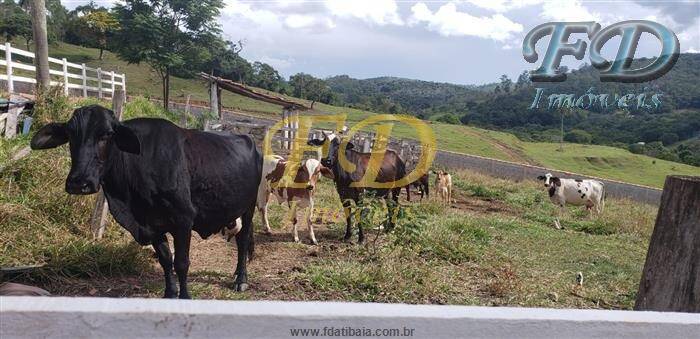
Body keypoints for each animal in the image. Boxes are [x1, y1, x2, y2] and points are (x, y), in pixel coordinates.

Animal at [28, 105, 262, 298]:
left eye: (107, 134)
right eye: (70, 135)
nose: (79, 182)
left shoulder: (183, 219)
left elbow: (182, 263)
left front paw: (184, 297)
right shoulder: (151, 224)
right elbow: (166, 260)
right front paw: (169, 294)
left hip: (249, 207)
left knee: (242, 240)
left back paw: (241, 280)